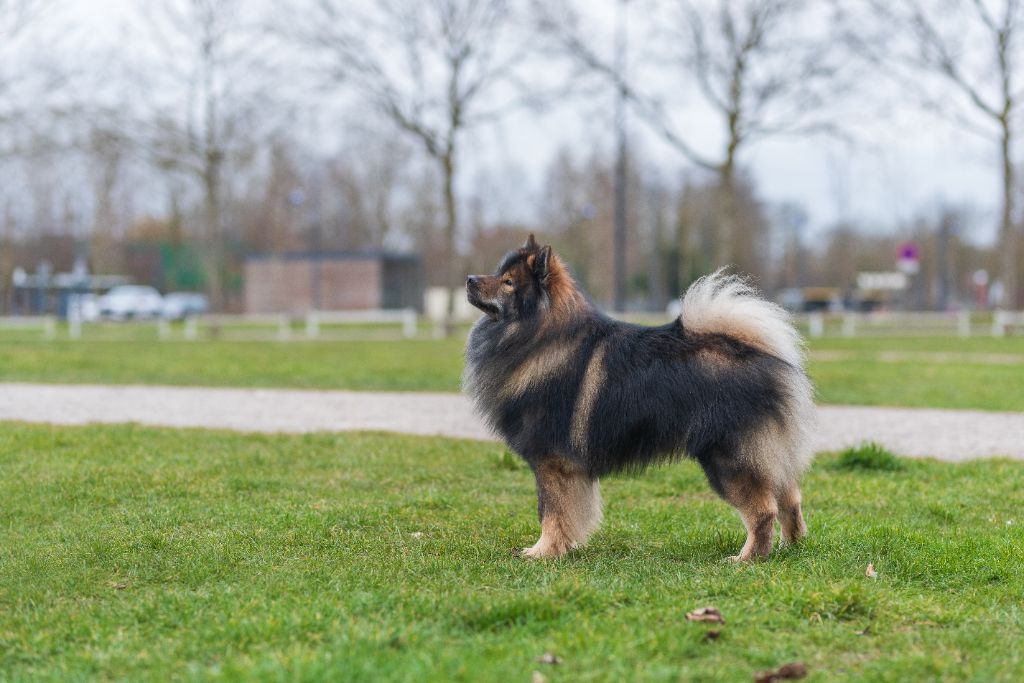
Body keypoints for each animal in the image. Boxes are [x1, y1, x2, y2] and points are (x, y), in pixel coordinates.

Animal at [464, 235, 815, 561]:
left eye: (508, 282)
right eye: (498, 273)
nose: (469, 279)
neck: (541, 338)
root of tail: (760, 355)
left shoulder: (552, 461)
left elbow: (552, 512)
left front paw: (543, 552)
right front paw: (561, 548)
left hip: (728, 459)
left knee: (764, 509)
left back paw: (748, 558)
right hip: (764, 456)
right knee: (790, 498)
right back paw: (790, 546)